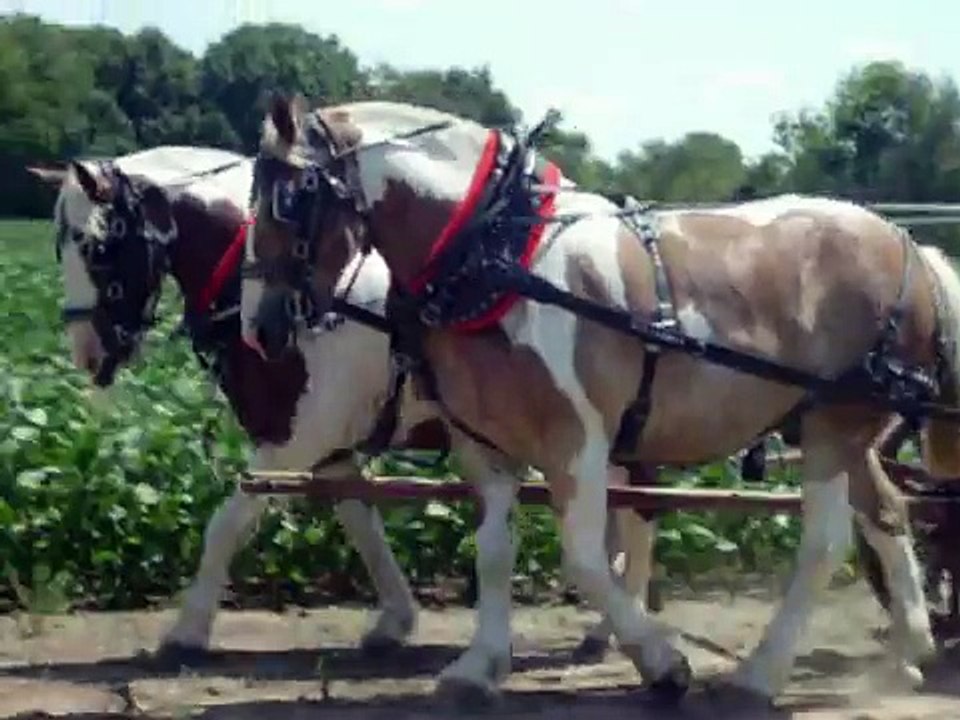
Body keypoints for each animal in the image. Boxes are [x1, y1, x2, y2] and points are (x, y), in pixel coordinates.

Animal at [27, 144, 657, 665]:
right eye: (60, 244)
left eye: (97, 245)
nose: (86, 352)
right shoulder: (329, 447)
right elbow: (362, 522)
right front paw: (395, 619)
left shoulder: (293, 438)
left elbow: (227, 523)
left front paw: (186, 632)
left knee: (635, 517)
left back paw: (617, 627)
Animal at [239, 95, 956, 704]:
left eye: (290, 198)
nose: (259, 328)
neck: (500, 257)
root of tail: (908, 245)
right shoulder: (484, 445)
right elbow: (492, 552)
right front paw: (478, 666)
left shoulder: (577, 441)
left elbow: (584, 558)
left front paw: (662, 663)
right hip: (831, 426)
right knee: (887, 515)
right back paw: (905, 655)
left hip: (836, 423)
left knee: (825, 541)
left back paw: (761, 674)